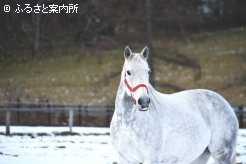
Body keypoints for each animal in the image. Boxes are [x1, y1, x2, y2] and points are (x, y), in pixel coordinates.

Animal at [110, 46, 239, 164]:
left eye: (148, 71)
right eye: (128, 72)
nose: (144, 101)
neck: (127, 121)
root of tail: (226, 104)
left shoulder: (152, 158)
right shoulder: (125, 159)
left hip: (221, 154)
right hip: (200, 156)